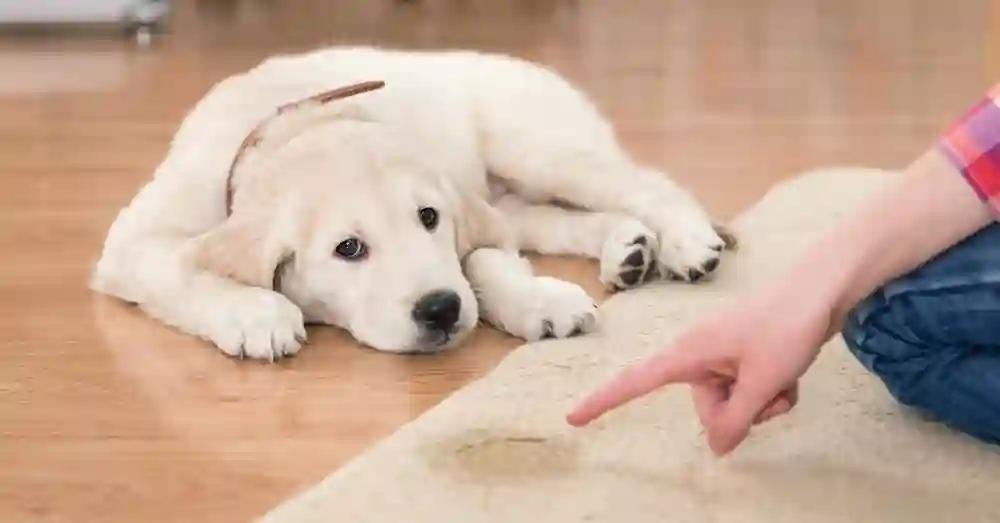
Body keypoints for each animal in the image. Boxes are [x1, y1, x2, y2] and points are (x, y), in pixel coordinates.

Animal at [92, 46, 736, 360]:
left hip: (537, 146)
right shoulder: (133, 242)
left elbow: (481, 262)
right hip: (516, 196)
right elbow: (182, 267)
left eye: (428, 218)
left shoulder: (466, 216)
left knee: (647, 183)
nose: (440, 310)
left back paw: (685, 243)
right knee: (555, 221)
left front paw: (536, 300)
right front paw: (255, 313)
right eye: (349, 249)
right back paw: (627, 249)